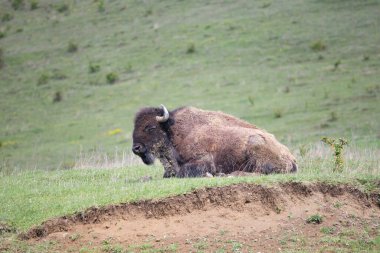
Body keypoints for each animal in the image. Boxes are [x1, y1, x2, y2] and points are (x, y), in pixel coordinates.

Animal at [132, 105, 298, 178]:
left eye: (150, 127)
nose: (136, 148)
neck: (172, 131)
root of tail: (291, 157)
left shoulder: (203, 161)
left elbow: (183, 172)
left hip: (255, 145)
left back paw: (227, 175)